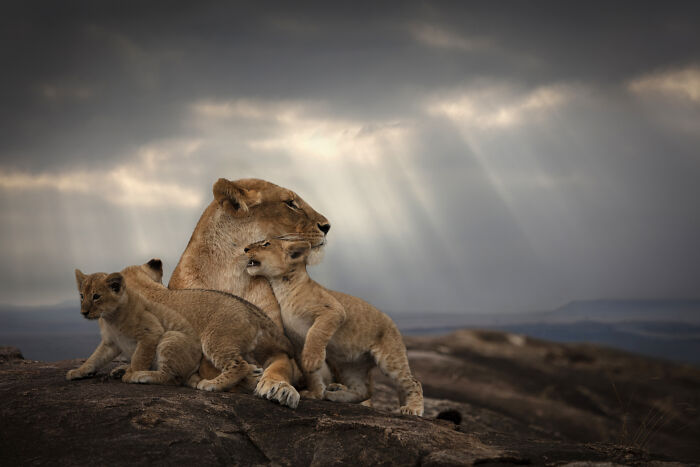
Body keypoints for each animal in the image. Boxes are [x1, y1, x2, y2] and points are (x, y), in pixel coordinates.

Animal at [67, 270, 201, 387]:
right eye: (82, 296)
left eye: (96, 296)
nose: (83, 313)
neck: (111, 318)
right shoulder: (110, 343)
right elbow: (94, 358)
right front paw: (78, 371)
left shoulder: (151, 331)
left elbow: (139, 359)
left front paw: (132, 374)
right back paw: (120, 370)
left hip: (171, 337)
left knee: (170, 378)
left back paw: (137, 375)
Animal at [121, 259, 300, 408]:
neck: (148, 288)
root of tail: (252, 313)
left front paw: (131, 372)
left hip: (214, 340)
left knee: (239, 366)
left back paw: (210, 384)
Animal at [244, 238, 424, 416]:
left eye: (266, 244)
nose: (245, 249)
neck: (282, 287)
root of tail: (393, 322)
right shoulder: (297, 343)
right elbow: (311, 375)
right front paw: (316, 393)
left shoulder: (334, 311)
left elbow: (316, 333)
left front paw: (312, 361)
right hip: (351, 366)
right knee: (364, 390)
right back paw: (333, 395)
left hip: (390, 359)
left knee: (413, 382)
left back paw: (412, 409)